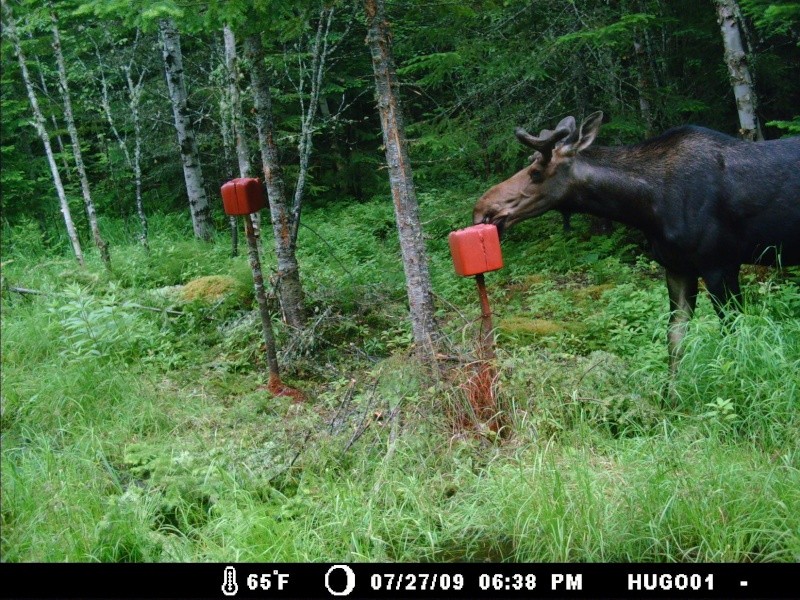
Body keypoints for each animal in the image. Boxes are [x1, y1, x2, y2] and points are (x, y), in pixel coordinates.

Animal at [476, 112, 800, 372]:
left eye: (536, 172)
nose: (482, 208)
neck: (647, 206)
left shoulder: (721, 263)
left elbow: (734, 333)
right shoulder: (677, 267)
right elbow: (675, 341)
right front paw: (671, 403)